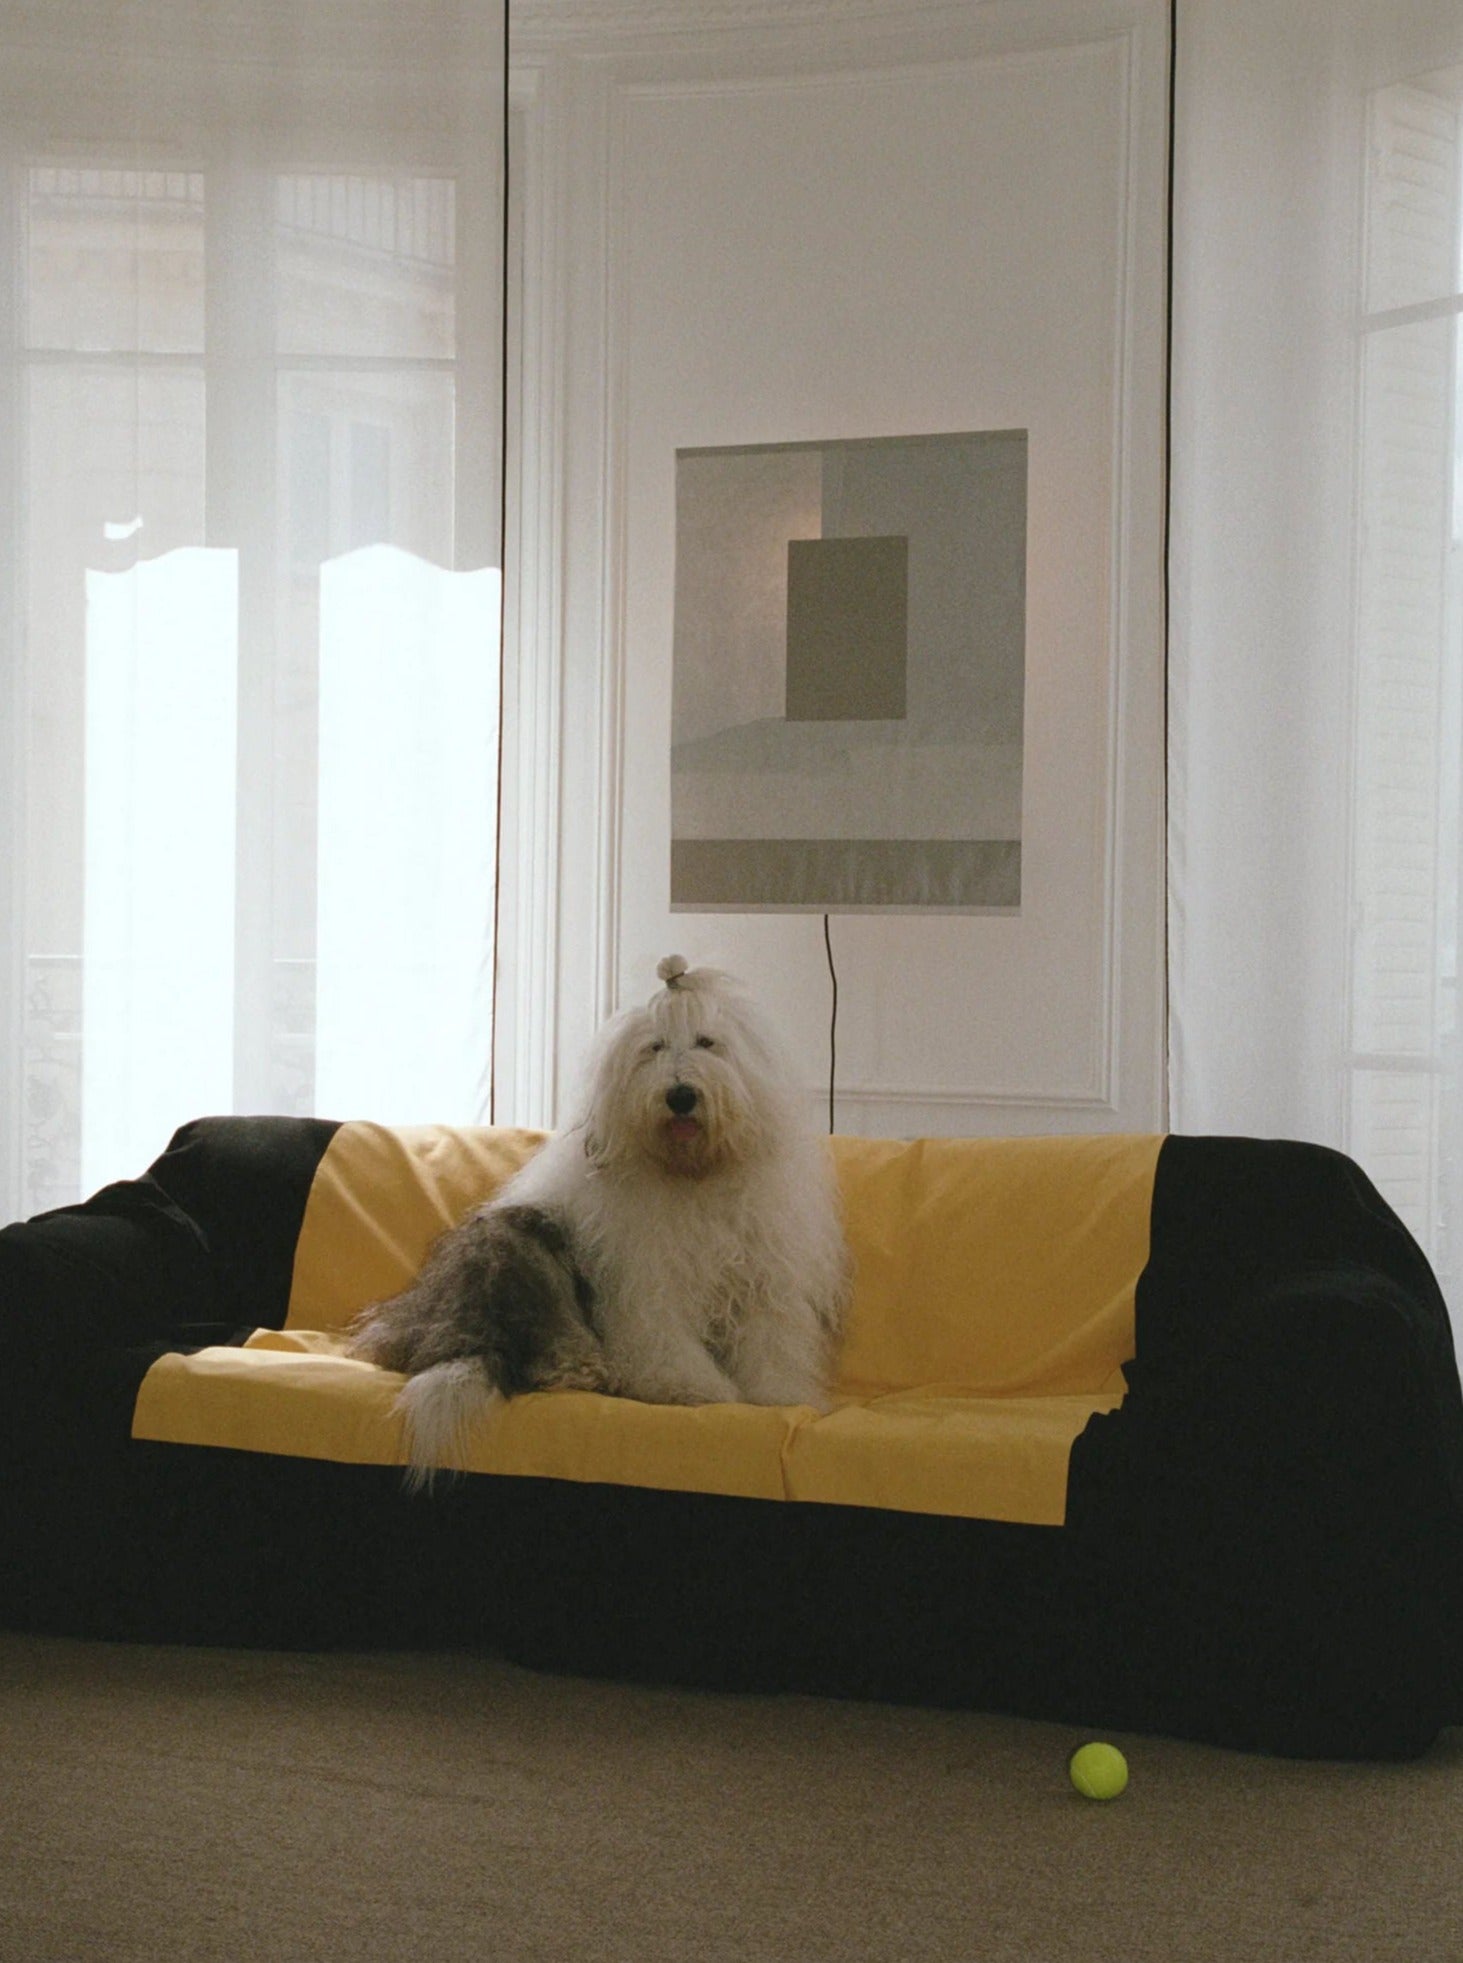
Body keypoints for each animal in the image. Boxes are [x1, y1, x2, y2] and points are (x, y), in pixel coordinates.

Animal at [347, 954, 852, 1484]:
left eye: (707, 1042)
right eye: (654, 1047)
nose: (680, 1095)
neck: (693, 1175)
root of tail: (450, 1334)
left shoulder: (764, 1274)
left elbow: (771, 1337)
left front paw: (779, 1394)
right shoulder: (650, 1282)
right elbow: (666, 1337)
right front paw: (693, 1389)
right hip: (522, 1245)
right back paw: (580, 1368)